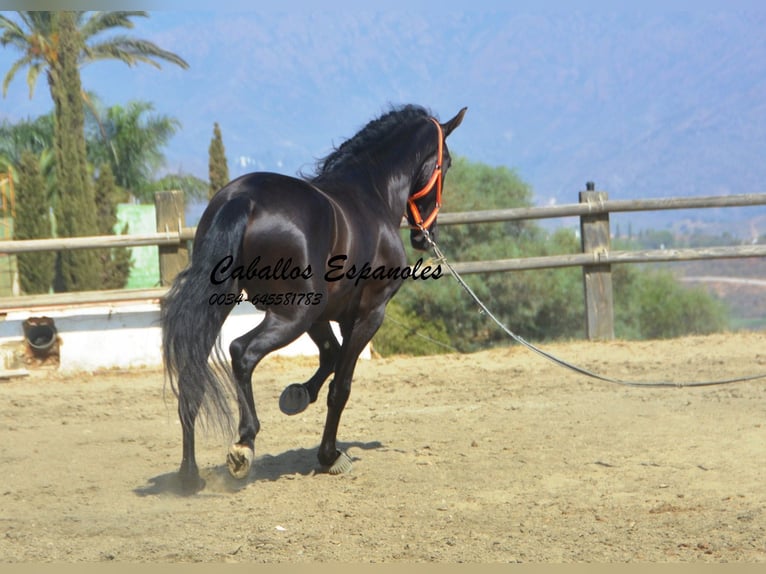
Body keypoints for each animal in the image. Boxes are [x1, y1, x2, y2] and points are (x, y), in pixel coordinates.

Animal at [162, 106, 468, 492]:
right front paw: (330, 456)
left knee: (193, 376)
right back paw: (244, 444)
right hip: (292, 315)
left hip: (230, 304)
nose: (426, 237)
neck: (371, 193)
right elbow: (341, 385)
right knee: (241, 352)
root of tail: (243, 200)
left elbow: (330, 356)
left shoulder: (323, 315)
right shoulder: (368, 315)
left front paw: (296, 396)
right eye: (448, 164)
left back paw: (189, 474)